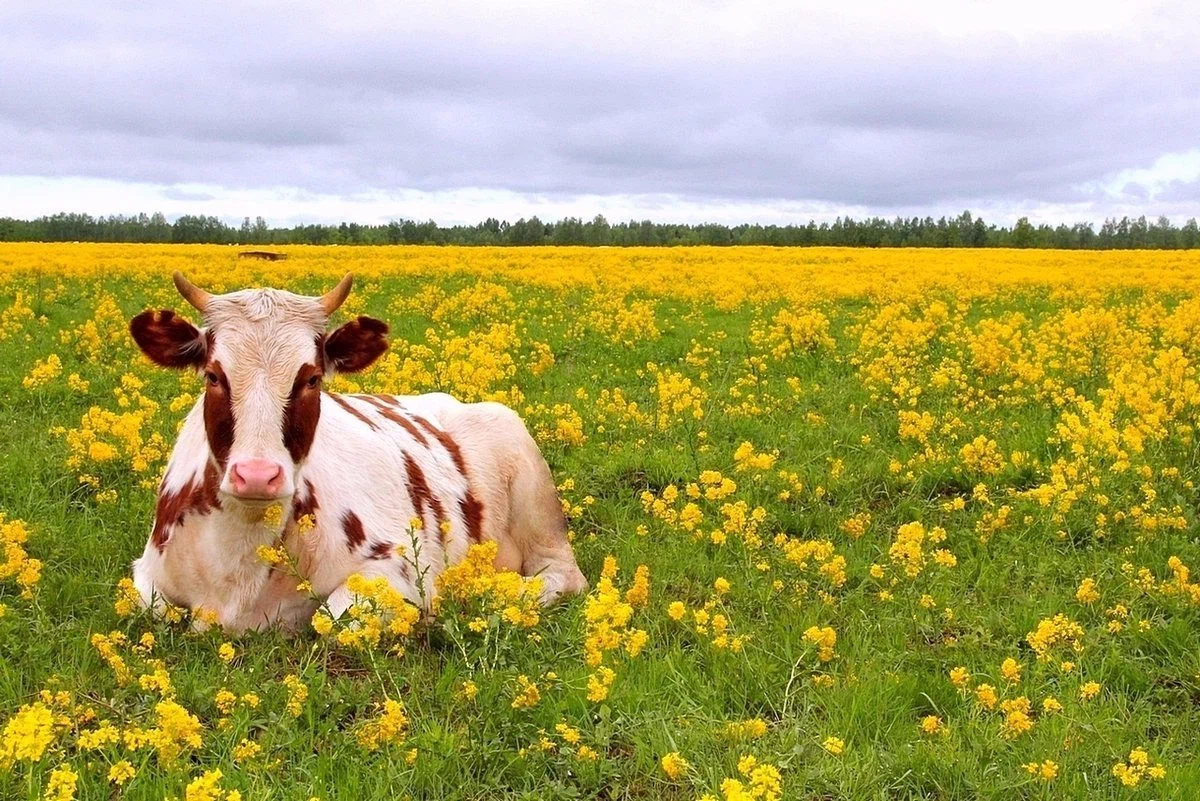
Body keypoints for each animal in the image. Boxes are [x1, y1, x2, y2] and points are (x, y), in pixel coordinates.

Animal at [126, 273, 585, 633]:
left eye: (311, 378)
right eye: (213, 375)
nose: (256, 475)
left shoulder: (396, 566)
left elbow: (332, 618)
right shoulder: (145, 571)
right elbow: (151, 605)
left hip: (535, 498)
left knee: (561, 576)